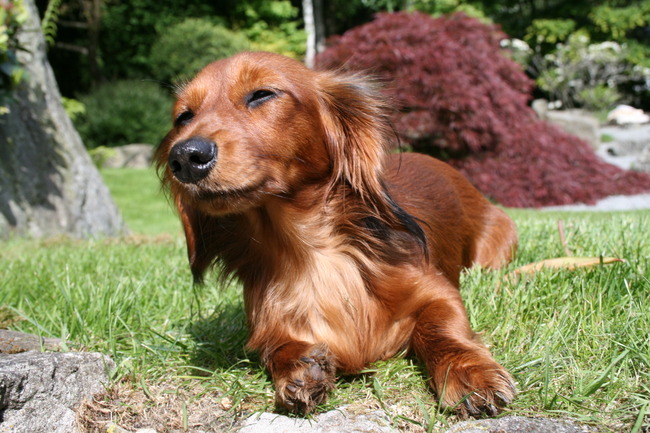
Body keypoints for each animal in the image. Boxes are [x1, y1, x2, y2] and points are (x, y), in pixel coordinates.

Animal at [155, 51, 518, 417]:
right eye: (184, 117)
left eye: (262, 94)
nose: (185, 157)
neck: (310, 251)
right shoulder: (268, 322)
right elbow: (274, 345)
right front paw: (301, 366)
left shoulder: (438, 292)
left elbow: (441, 327)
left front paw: (469, 374)